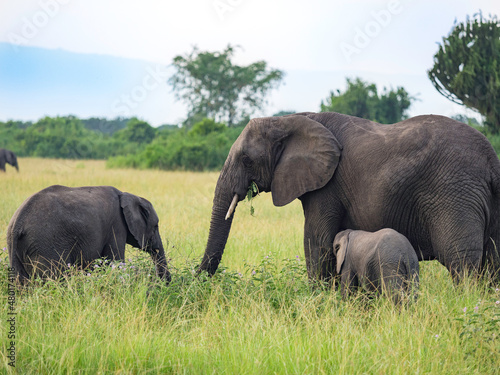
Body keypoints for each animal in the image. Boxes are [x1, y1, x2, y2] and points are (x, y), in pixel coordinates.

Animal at [6, 185, 171, 284]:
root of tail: (18, 223)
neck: (127, 194)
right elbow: (115, 261)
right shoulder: (116, 225)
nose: (163, 283)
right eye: (156, 226)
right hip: (46, 245)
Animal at [198, 113, 500, 284]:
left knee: (462, 263)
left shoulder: (327, 186)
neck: (290, 119)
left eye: (246, 159)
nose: (199, 281)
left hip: (455, 194)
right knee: (493, 263)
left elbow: (317, 243)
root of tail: (491, 160)